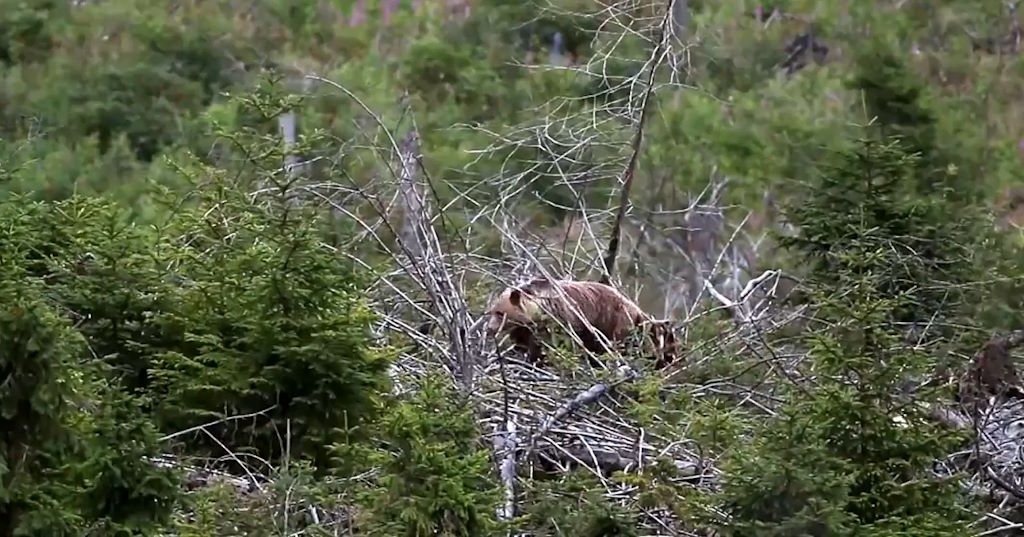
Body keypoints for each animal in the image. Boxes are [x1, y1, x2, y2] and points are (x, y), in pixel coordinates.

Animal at [483, 276, 675, 368]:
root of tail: (636, 308)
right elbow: (523, 344)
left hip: (616, 321)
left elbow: (549, 346)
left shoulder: (559, 321)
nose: (489, 329)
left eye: (500, 313)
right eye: (491, 311)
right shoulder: (525, 329)